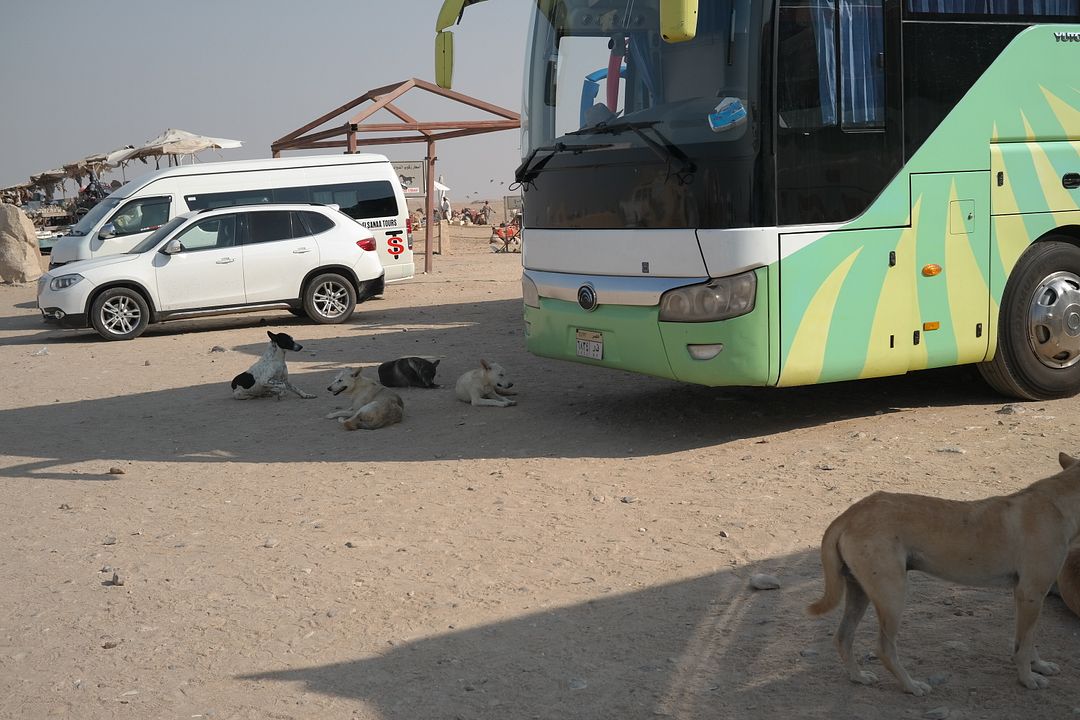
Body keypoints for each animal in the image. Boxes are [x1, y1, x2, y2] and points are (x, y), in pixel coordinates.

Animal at [812, 453, 1080, 695]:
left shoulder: (1025, 596)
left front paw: (1039, 665)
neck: (1060, 505)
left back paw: (857, 677)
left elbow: (1026, 639)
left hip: (861, 592)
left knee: (843, 637)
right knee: (884, 649)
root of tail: (849, 514)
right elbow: (1023, 647)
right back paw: (911, 686)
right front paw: (1027, 678)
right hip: (893, 596)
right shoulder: (1032, 593)